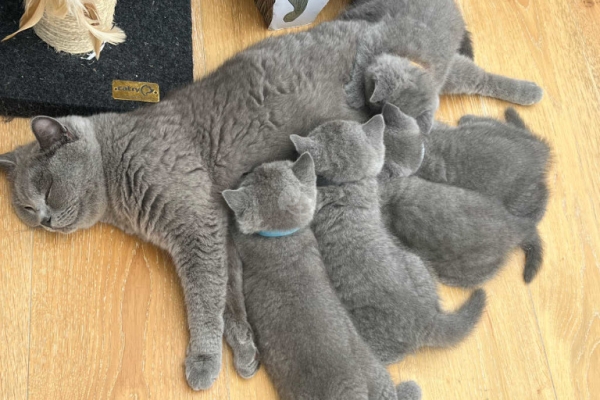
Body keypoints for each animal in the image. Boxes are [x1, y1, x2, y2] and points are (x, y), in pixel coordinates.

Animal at [223, 155, 420, 400]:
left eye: (254, 173)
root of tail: (352, 391)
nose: (246, 171)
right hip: (377, 376)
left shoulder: (242, 241)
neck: (282, 237)